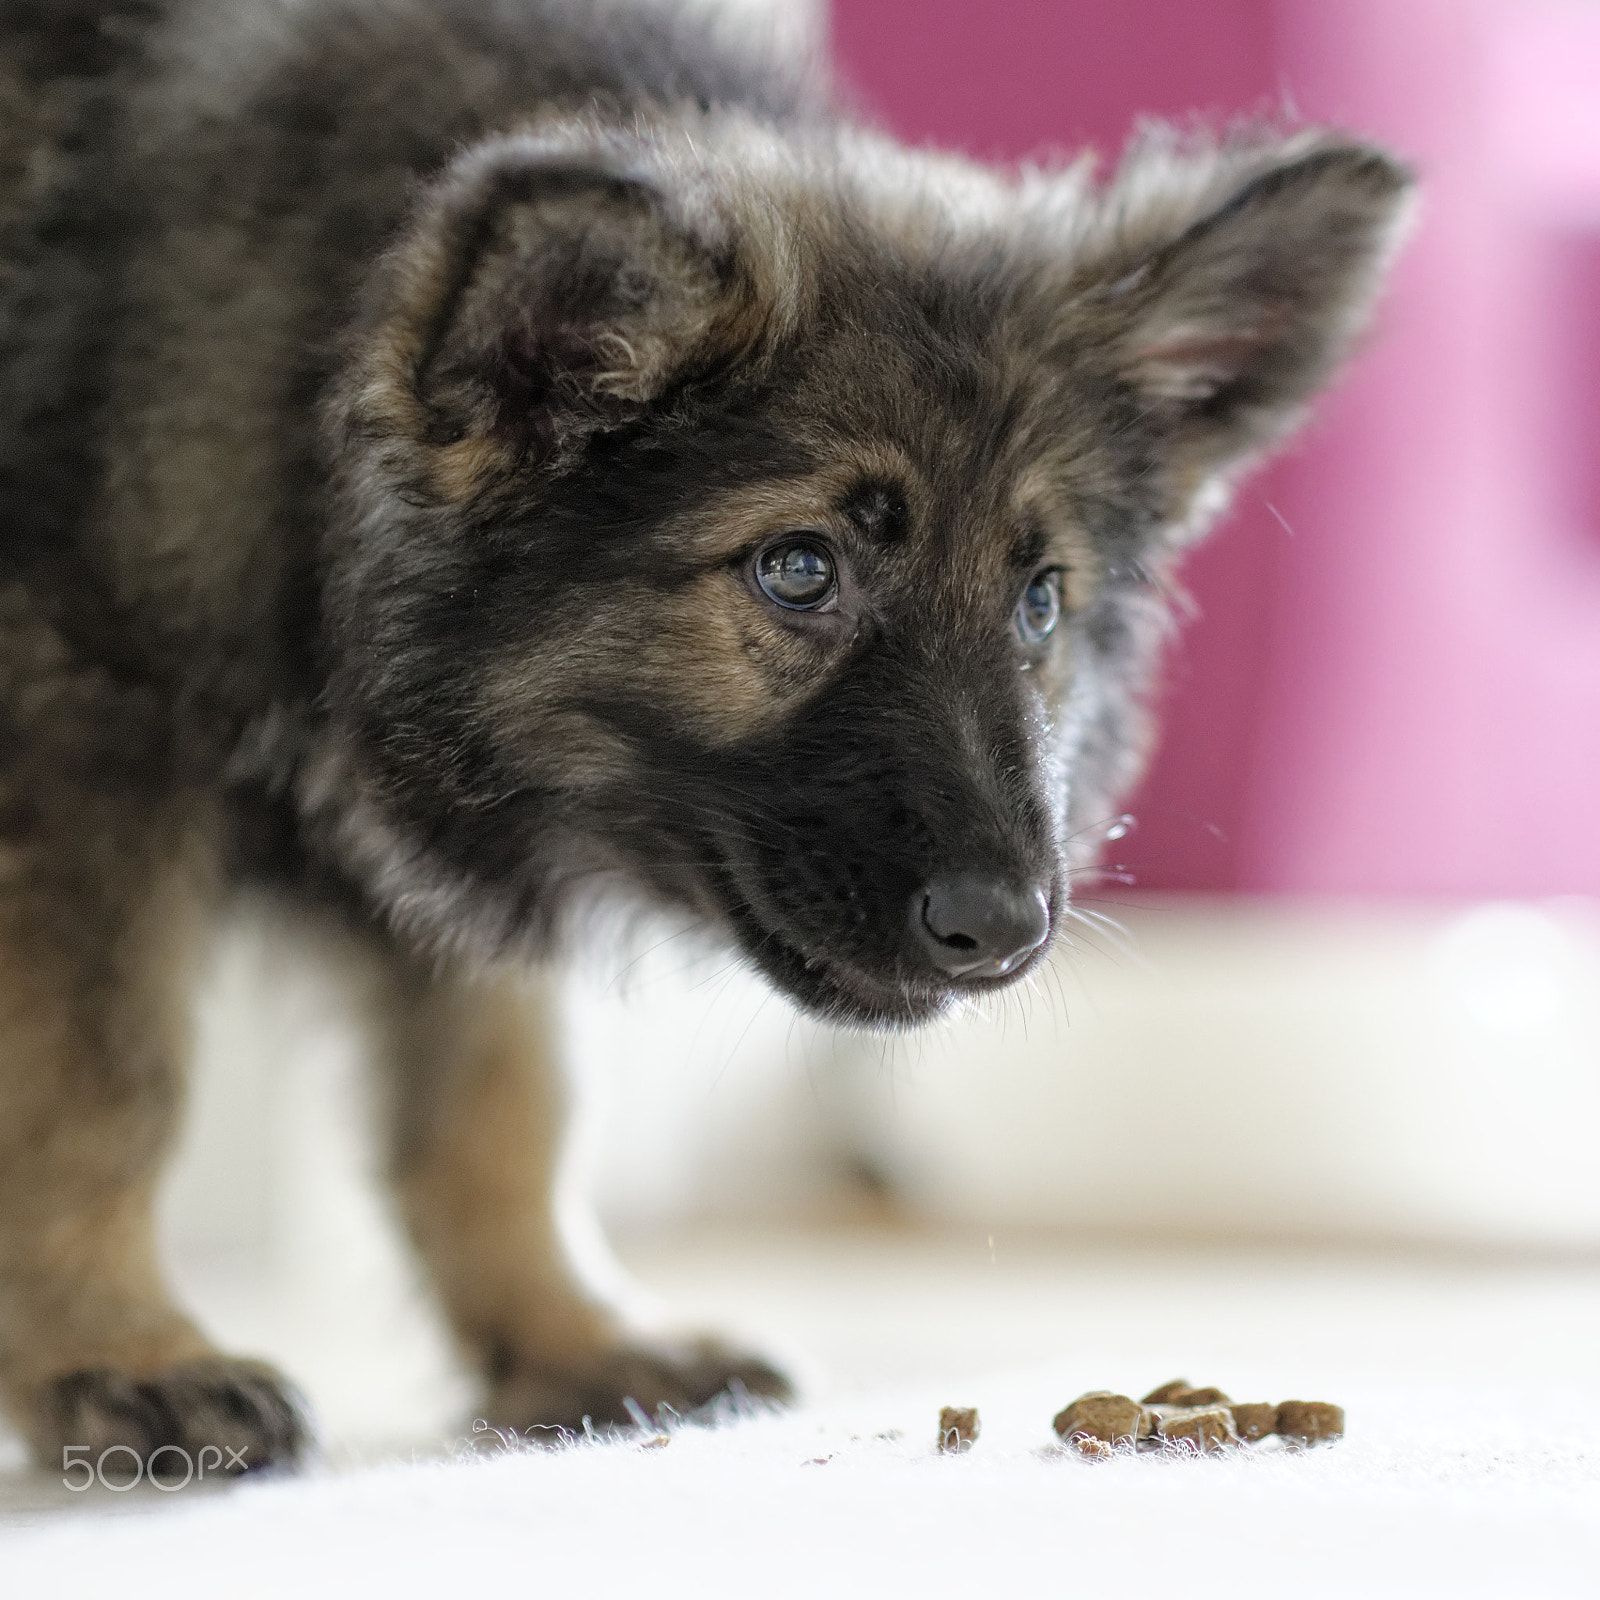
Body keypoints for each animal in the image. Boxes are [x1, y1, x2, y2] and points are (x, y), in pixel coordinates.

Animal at [0, 0, 1408, 1472]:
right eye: (799, 571)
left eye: (1039, 599)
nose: (1006, 931)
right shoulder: (76, 739)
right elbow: (99, 1085)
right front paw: (123, 1353)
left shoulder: (469, 821)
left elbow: (501, 1095)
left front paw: (571, 1334)